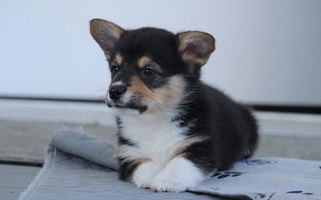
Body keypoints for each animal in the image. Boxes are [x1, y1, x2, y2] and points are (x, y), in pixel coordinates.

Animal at [89, 18, 258, 192]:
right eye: (115, 68)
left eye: (149, 71)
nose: (114, 91)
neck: (154, 119)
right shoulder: (129, 154)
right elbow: (145, 163)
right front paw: (151, 177)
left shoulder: (202, 147)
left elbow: (180, 162)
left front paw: (166, 179)